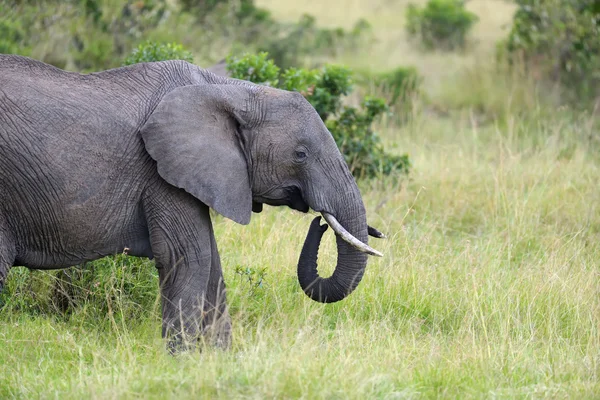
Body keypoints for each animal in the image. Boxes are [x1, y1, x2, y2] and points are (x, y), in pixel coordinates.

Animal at [0, 54, 384, 352]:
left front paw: (218, 360)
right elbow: (189, 256)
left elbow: (212, 262)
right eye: (300, 154)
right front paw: (180, 362)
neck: (227, 88)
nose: (320, 221)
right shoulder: (160, 171)